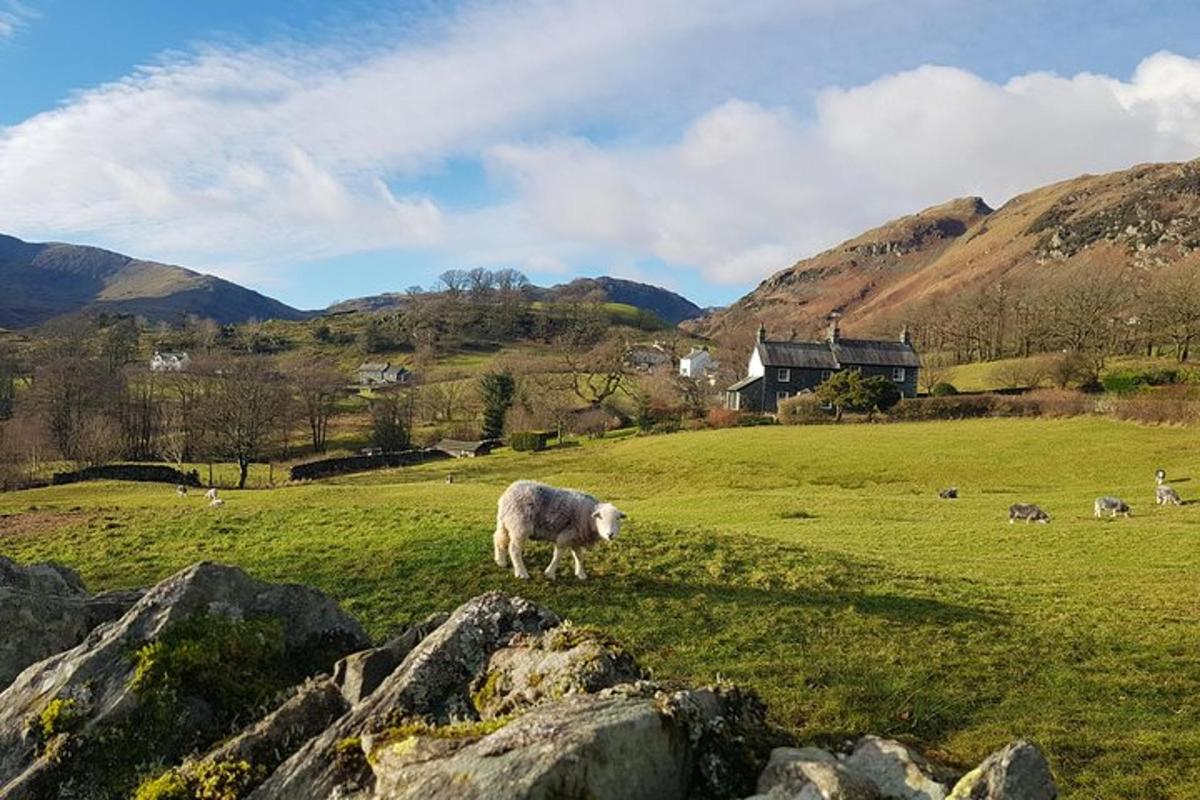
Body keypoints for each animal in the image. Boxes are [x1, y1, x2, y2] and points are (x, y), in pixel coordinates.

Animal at [494, 479, 628, 578]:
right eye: (600, 517)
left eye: (618, 518)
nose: (610, 534)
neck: (588, 517)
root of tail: (507, 495)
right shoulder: (565, 536)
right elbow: (558, 556)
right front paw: (550, 573)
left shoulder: (575, 538)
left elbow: (579, 556)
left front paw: (581, 574)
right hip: (520, 526)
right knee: (514, 549)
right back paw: (522, 573)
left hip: (505, 523)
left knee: (499, 539)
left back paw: (501, 562)